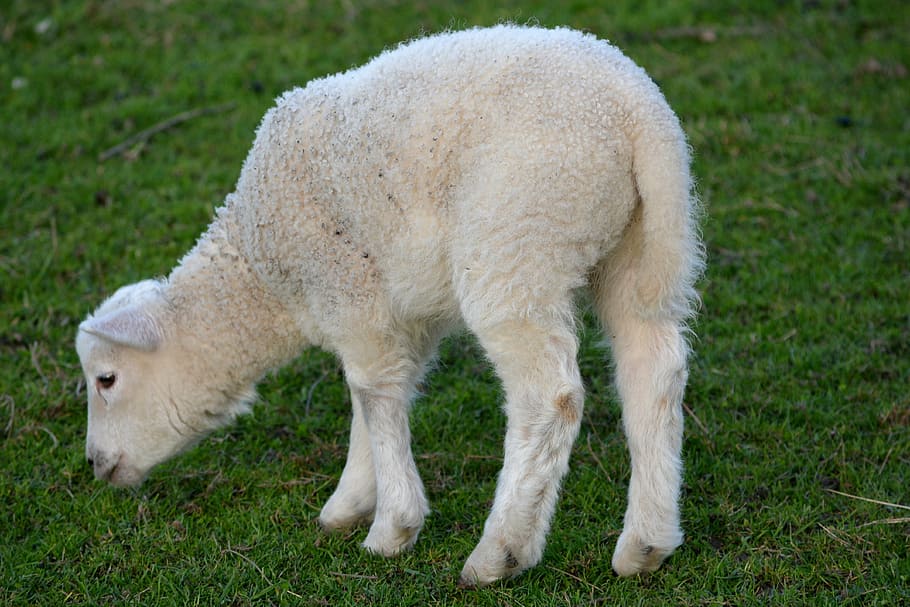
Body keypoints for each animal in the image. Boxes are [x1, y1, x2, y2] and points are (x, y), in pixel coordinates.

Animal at [76, 24, 703, 587]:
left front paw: (391, 528)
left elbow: (374, 396)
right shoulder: (399, 315)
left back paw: (499, 553)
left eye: (106, 379)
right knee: (653, 369)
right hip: (637, 247)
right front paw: (352, 500)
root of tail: (637, 113)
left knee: (549, 397)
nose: (95, 464)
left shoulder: (347, 290)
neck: (260, 273)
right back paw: (646, 543)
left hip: (517, 244)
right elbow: (378, 396)